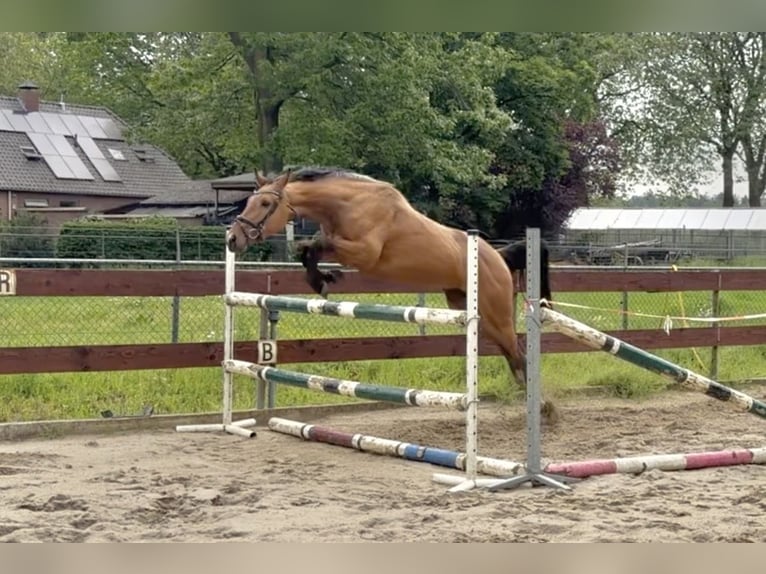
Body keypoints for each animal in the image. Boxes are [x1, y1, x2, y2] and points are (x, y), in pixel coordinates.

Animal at [226, 167, 557, 422]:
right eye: (249, 201)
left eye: (265, 203)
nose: (232, 239)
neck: (348, 204)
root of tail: (497, 256)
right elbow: (308, 249)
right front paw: (323, 280)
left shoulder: (364, 253)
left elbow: (312, 244)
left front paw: (323, 280)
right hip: (472, 311)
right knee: (512, 355)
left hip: (495, 314)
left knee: (519, 353)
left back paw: (544, 407)